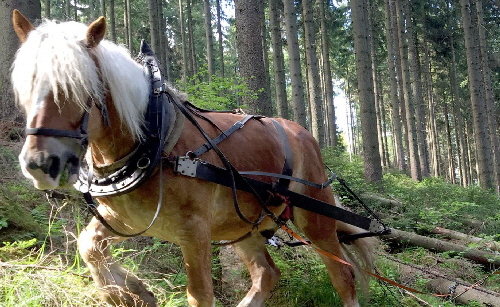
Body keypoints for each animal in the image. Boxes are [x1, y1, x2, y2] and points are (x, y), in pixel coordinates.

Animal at [11, 10, 376, 307]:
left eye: (76, 86)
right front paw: (130, 293)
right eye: (25, 85)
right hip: (243, 227)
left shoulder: (194, 231)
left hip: (315, 218)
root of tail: (305, 135)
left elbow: (200, 294)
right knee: (266, 274)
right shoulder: (125, 220)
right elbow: (88, 246)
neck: (153, 141)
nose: (39, 164)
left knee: (343, 277)